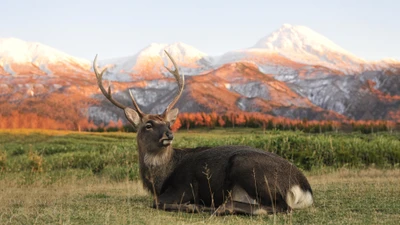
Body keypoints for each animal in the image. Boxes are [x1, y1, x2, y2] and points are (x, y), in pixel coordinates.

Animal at [93, 50, 312, 214]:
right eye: (148, 125)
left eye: (168, 124)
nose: (169, 135)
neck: (159, 179)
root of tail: (304, 188)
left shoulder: (184, 187)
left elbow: (158, 203)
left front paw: (192, 206)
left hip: (247, 167)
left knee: (280, 206)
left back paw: (212, 207)